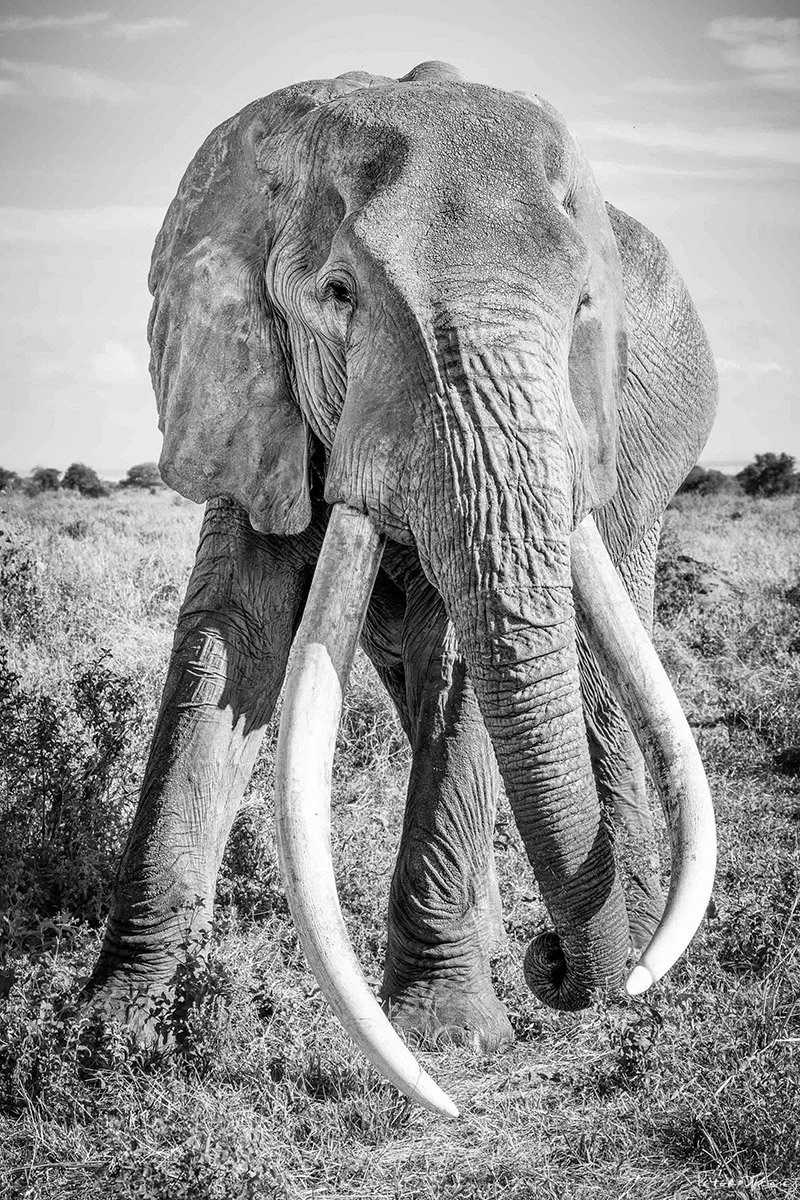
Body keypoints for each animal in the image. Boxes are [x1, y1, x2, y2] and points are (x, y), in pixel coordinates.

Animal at [87, 61, 718, 1116]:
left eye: (585, 307)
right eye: (338, 295)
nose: (557, 963)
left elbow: (460, 656)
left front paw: (445, 1035)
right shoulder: (260, 398)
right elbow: (232, 638)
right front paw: (110, 1034)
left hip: (642, 462)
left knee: (593, 670)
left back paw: (617, 954)